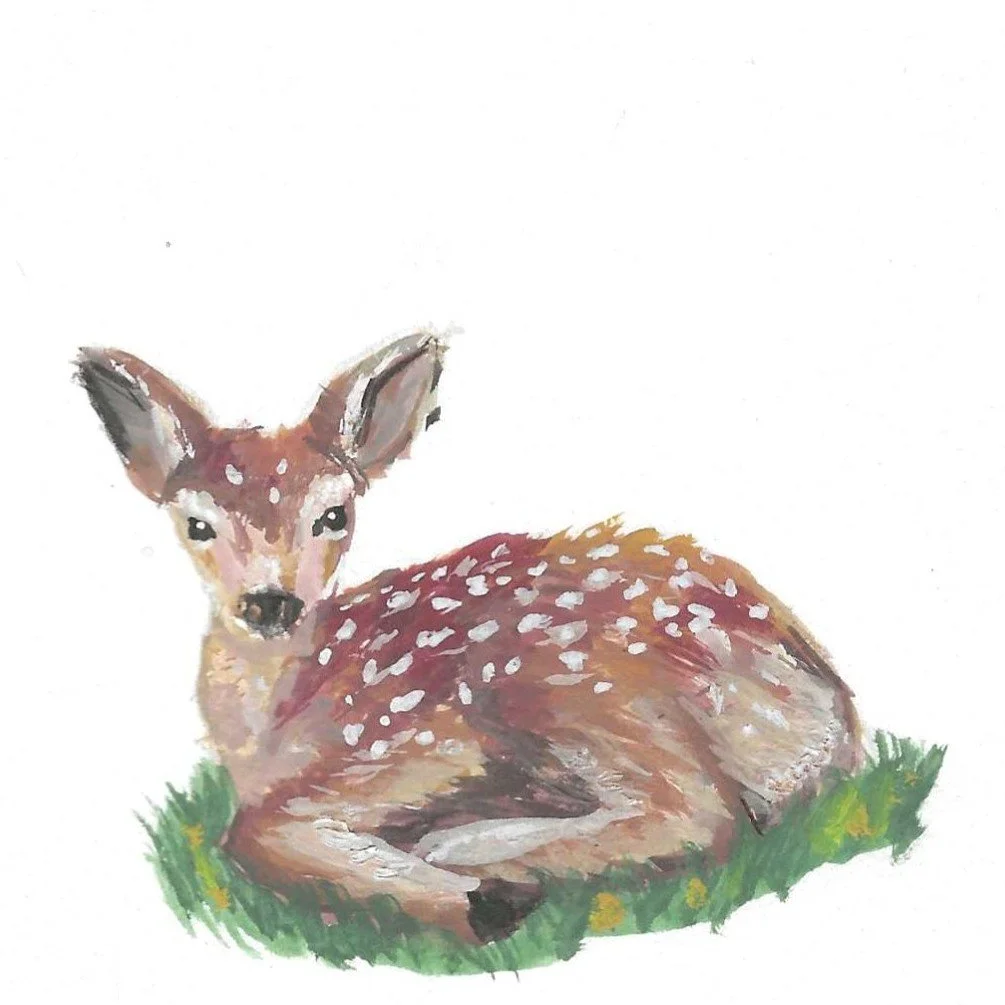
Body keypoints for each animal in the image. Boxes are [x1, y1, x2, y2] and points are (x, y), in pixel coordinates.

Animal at [76, 331, 862, 944]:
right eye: (197, 524)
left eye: (334, 515)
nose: (271, 601)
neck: (275, 722)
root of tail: (824, 695)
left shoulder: (423, 737)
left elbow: (251, 831)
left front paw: (471, 897)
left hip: (565, 681)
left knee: (702, 814)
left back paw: (472, 848)